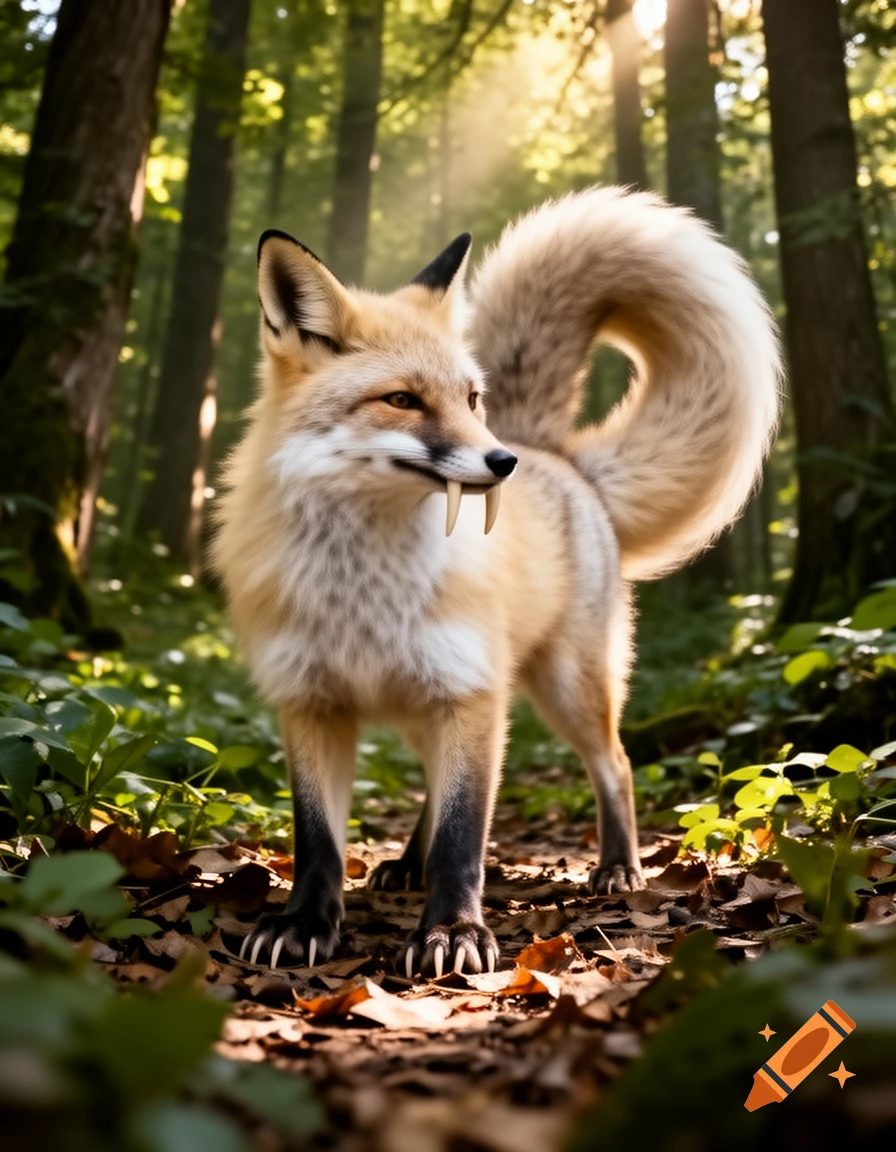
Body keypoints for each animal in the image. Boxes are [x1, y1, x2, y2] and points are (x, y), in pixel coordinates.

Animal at [211, 186, 781, 978]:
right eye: (403, 400)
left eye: (471, 399)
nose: (501, 462)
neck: (364, 587)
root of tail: (557, 454)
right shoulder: (311, 702)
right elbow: (318, 839)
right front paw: (304, 925)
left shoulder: (470, 693)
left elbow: (463, 835)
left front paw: (453, 932)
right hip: (444, 702)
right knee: (437, 784)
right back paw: (404, 865)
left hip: (565, 687)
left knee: (617, 765)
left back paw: (618, 867)